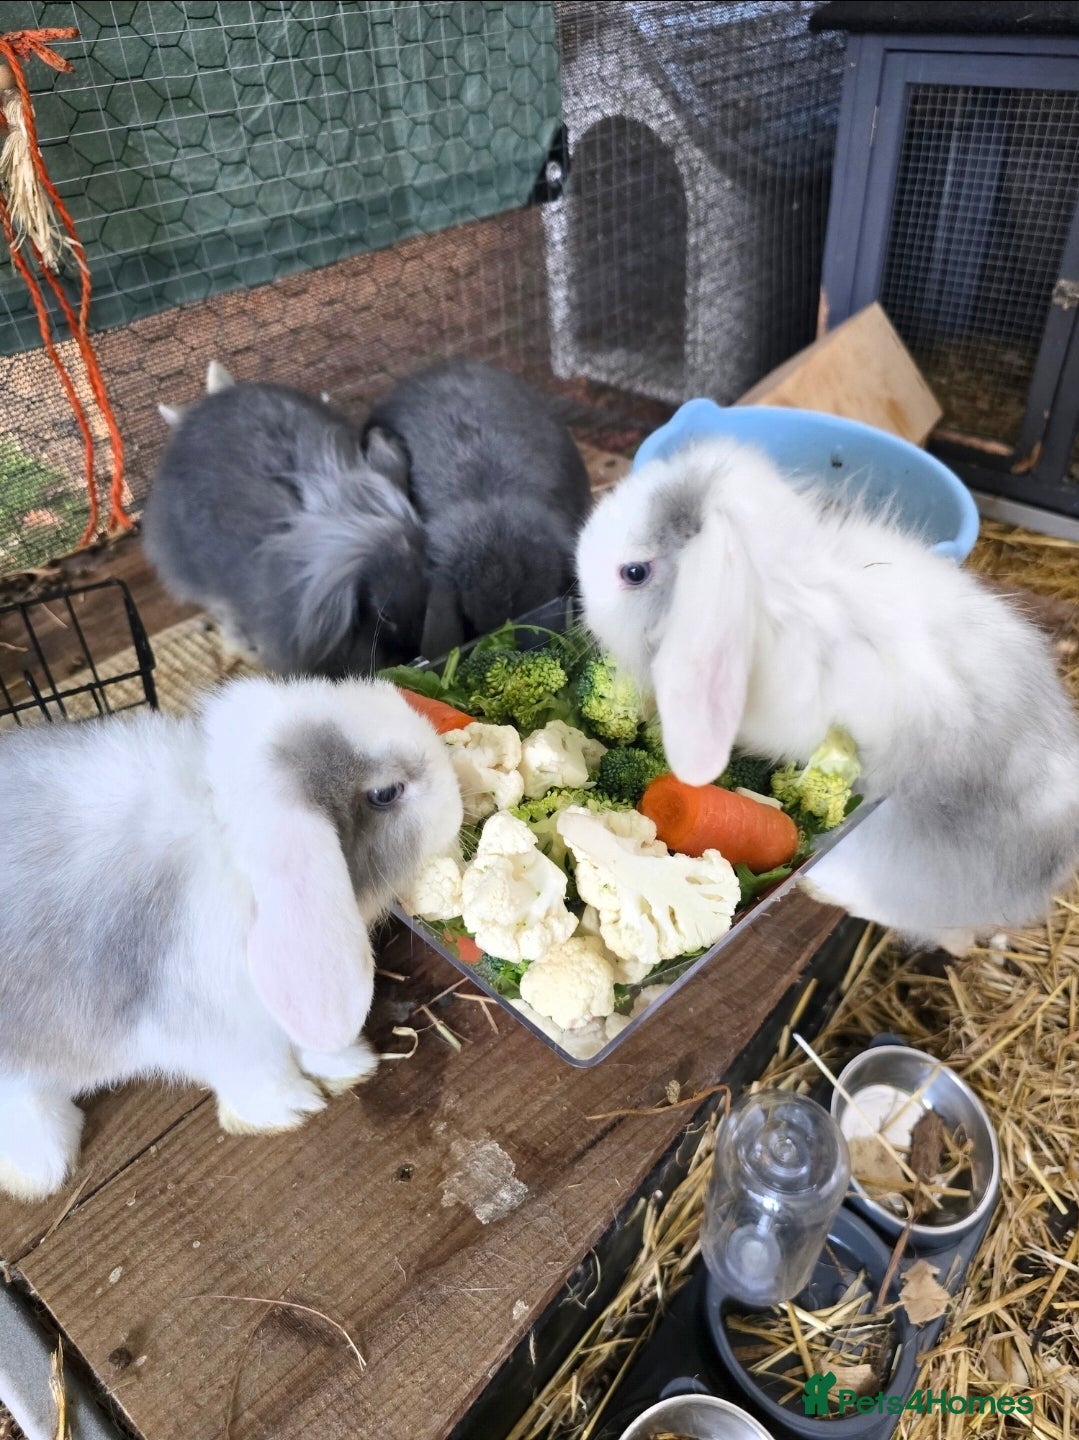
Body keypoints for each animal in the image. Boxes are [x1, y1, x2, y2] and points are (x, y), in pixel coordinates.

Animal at [0, 675, 463, 1201]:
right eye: (385, 793)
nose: (458, 796)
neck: (224, 829)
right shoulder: (215, 1025)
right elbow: (257, 1070)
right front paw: (290, 1108)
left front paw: (349, 1065)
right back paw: (41, 1168)